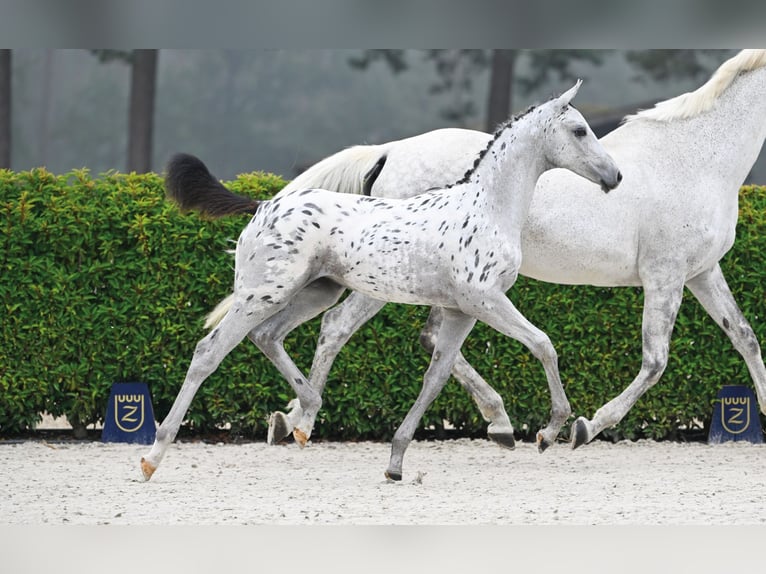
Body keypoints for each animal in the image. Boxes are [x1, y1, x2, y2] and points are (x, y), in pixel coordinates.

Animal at [142, 82, 624, 482]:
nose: (614, 176)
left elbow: (436, 376)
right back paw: (153, 457)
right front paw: (551, 429)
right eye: (580, 130)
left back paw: (302, 418)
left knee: (271, 336)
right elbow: (543, 343)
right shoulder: (485, 300)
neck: (485, 207)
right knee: (210, 352)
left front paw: (396, 461)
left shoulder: (460, 311)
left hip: (315, 292)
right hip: (263, 293)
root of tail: (264, 205)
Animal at [208, 49, 766, 452]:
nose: (614, 178)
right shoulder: (665, 275)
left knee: (425, 338)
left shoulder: (702, 272)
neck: (695, 158)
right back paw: (304, 417)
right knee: (339, 329)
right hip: (384, 283)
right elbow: (655, 361)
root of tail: (388, 151)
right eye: (579, 130)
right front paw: (583, 427)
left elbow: (745, 338)